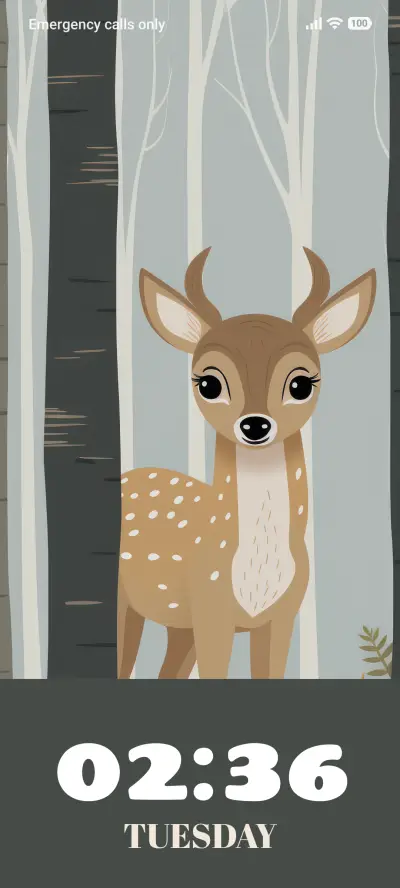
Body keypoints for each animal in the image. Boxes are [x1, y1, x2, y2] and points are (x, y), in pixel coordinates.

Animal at [117, 247, 376, 679]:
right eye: (208, 383)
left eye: (301, 383)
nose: (255, 425)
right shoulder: (210, 607)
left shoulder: (283, 614)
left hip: (178, 626)